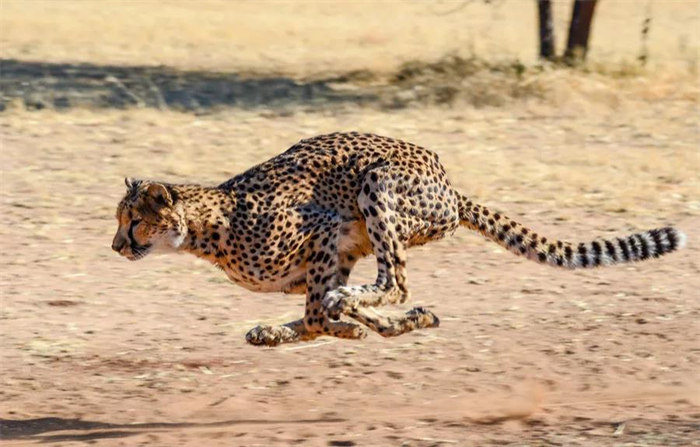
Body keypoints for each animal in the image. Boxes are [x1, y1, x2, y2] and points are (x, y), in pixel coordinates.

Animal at [112, 131, 688, 348]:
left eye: (134, 222)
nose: (116, 247)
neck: (208, 227)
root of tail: (450, 185)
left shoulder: (324, 230)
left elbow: (322, 313)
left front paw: (346, 327)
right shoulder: (334, 252)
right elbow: (321, 310)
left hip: (378, 184)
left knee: (394, 279)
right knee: (378, 287)